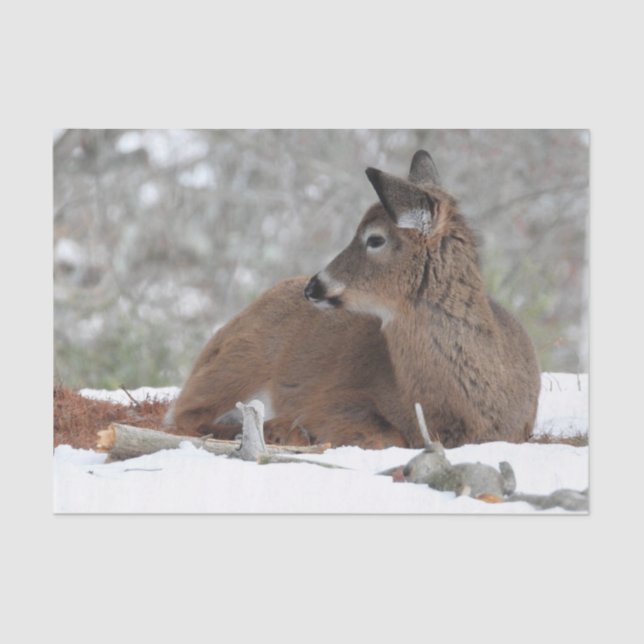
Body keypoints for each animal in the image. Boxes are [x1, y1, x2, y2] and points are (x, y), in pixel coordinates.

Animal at [168, 150, 541, 449]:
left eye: (374, 239)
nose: (313, 286)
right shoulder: (336, 397)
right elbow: (386, 436)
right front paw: (294, 428)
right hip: (239, 361)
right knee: (183, 415)